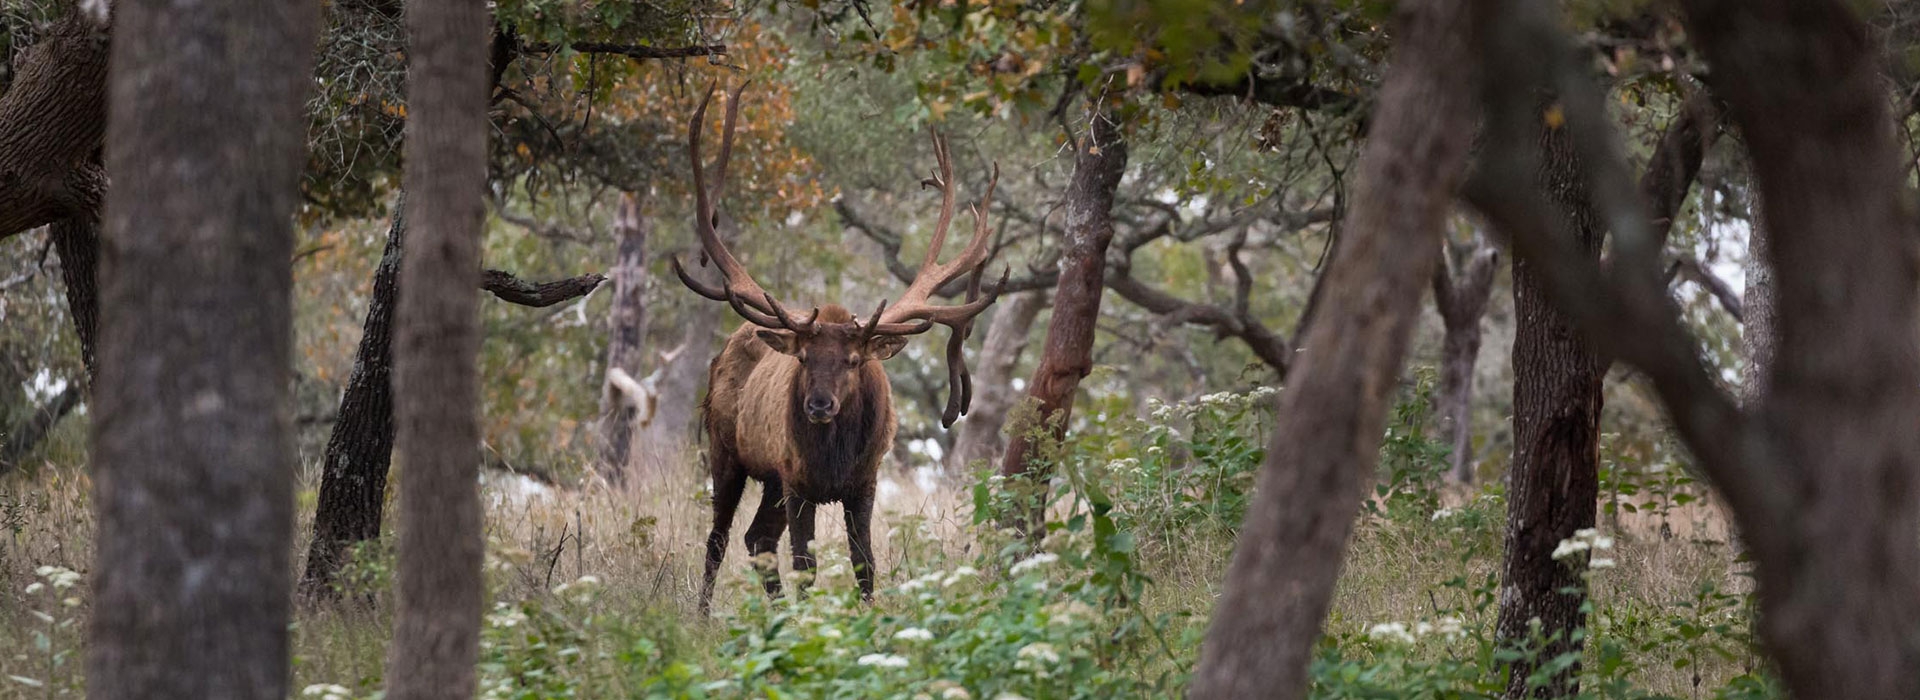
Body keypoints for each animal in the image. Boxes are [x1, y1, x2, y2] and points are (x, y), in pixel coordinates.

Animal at [675, 84, 1004, 614]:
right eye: (804, 358)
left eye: (853, 361)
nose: (819, 405)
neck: (834, 459)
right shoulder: (798, 481)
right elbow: (806, 566)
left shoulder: (864, 483)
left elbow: (864, 564)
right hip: (728, 452)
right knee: (719, 539)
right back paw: (703, 617)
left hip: (770, 478)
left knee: (756, 538)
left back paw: (776, 616)